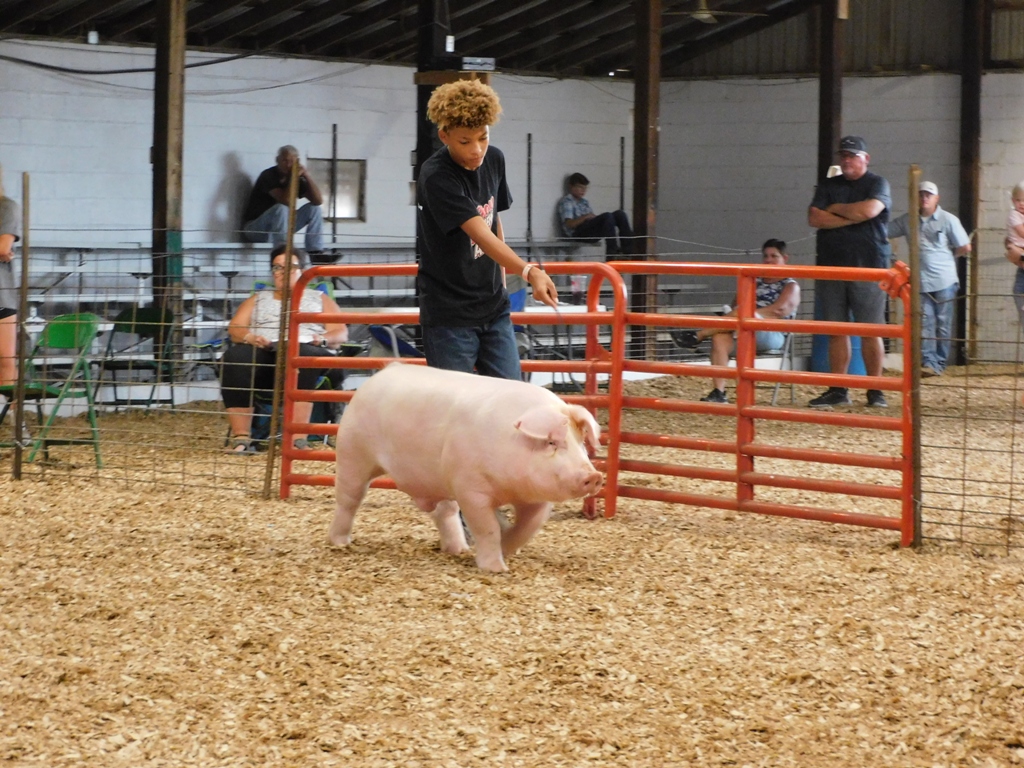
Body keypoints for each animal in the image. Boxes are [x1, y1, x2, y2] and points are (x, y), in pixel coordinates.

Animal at [328, 363, 604, 572]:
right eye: (551, 442)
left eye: (579, 442)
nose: (594, 475)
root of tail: (384, 371)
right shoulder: (470, 489)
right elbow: (487, 528)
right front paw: (496, 568)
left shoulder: (535, 499)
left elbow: (528, 527)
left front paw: (507, 549)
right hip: (353, 453)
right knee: (349, 499)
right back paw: (339, 543)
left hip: (437, 480)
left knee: (445, 512)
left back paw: (457, 550)